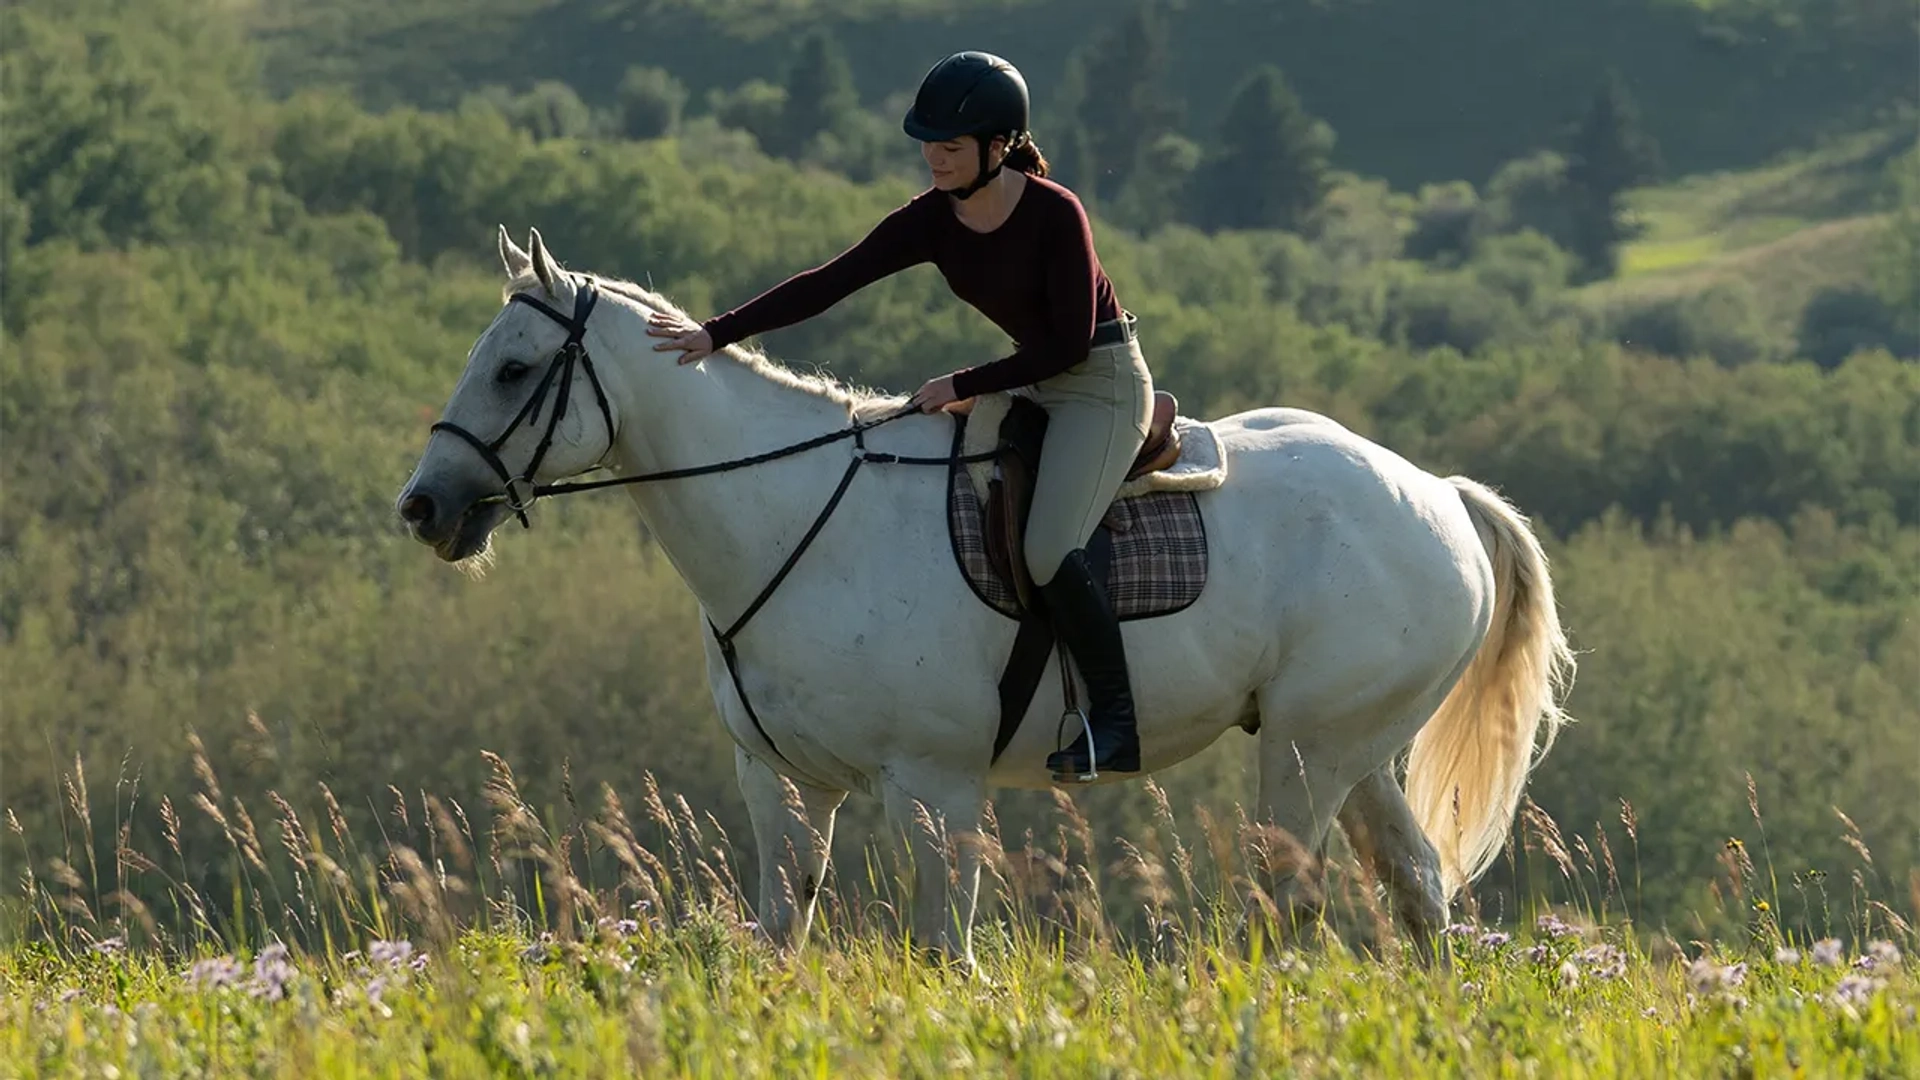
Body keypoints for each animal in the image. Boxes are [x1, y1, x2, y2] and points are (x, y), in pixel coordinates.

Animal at [393, 228, 1574, 957]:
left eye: (512, 370)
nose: (423, 507)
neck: (796, 521)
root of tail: (1437, 494)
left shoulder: (935, 786)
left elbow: (946, 951)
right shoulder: (782, 785)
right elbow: (781, 939)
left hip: (1302, 755)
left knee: (1291, 907)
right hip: (1350, 752)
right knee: (1417, 892)